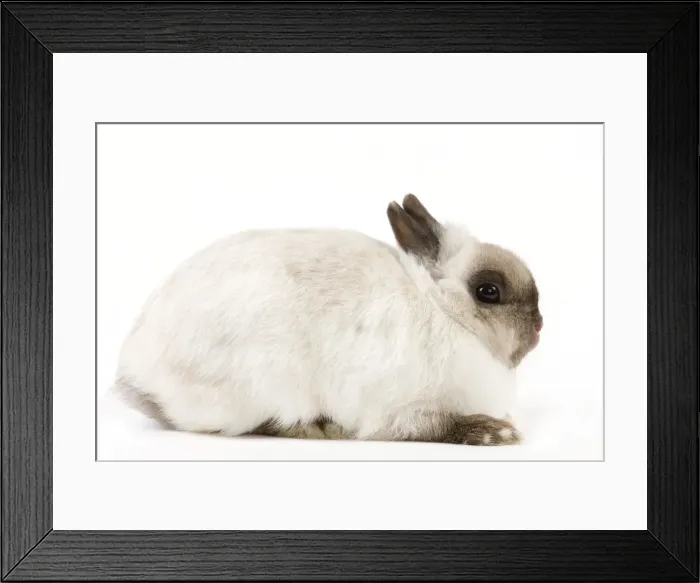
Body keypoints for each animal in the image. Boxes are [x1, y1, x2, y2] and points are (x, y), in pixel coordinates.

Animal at [112, 194, 542, 446]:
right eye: (488, 291)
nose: (539, 326)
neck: (444, 310)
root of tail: (137, 373)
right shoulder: (401, 411)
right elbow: (435, 427)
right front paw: (495, 431)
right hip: (265, 387)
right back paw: (320, 427)